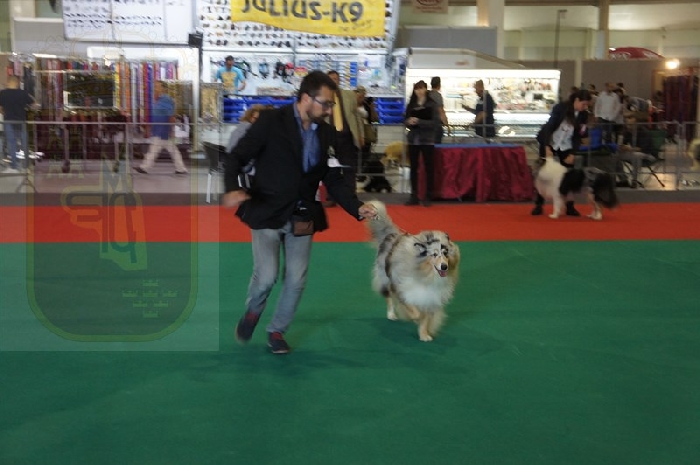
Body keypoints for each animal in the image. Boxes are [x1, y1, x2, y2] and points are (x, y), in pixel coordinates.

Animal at [365, 200, 460, 342]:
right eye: (434, 254)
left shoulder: (429, 296)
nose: (444, 267)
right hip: (385, 278)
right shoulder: (403, 288)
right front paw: (415, 318)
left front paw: (424, 335)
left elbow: (425, 318)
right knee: (388, 296)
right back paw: (391, 314)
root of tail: (392, 234)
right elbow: (412, 309)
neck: (425, 274)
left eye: (445, 253)